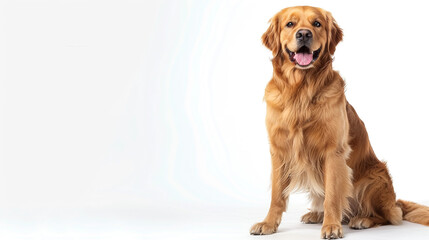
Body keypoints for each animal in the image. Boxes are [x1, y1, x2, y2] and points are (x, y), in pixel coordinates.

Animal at [249, 5, 428, 238]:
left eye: (316, 24)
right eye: (290, 24)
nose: (304, 34)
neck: (300, 90)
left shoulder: (333, 151)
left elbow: (333, 196)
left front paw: (331, 226)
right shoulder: (278, 150)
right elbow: (277, 194)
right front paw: (269, 223)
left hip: (375, 178)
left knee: (387, 216)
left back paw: (362, 219)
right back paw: (315, 215)